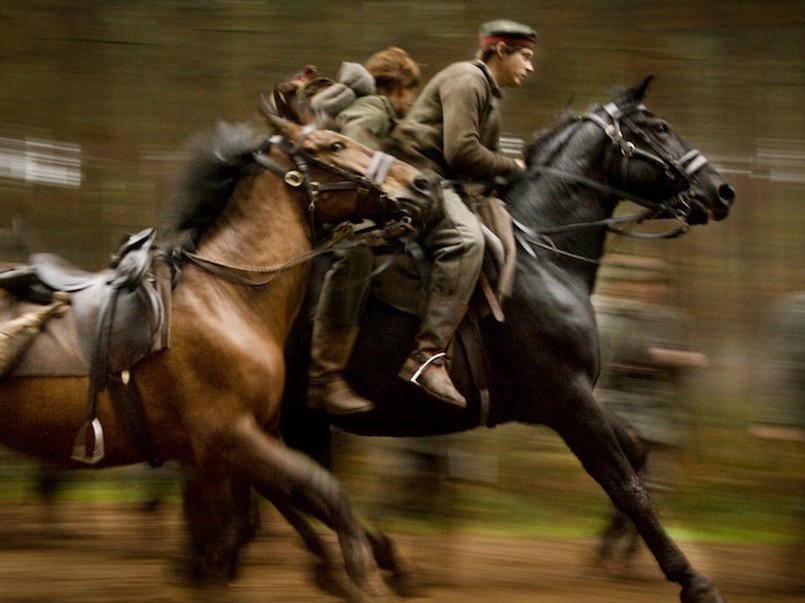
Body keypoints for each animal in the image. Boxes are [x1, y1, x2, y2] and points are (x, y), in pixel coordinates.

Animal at [0, 114, 436, 600]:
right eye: (335, 145)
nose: (420, 182)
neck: (229, 297)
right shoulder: (230, 437)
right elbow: (322, 489)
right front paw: (362, 576)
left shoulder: (225, 451)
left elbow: (236, 526)